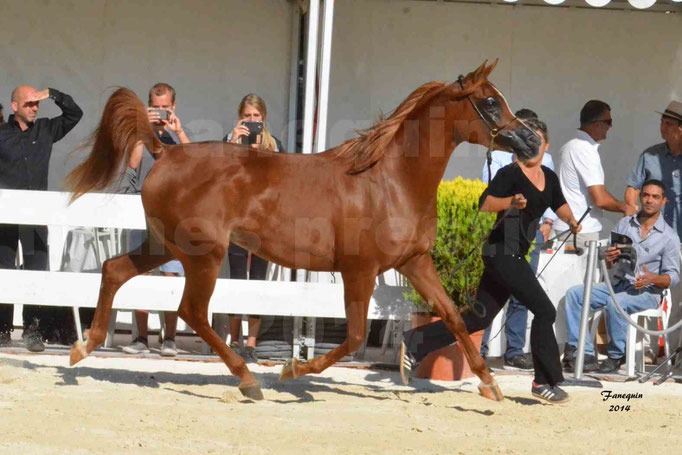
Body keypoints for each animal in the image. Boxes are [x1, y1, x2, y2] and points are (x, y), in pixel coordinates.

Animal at [66, 60, 540, 402]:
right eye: (490, 102)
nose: (532, 142)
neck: (389, 180)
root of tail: (165, 151)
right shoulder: (359, 271)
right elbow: (353, 336)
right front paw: (293, 370)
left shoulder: (414, 261)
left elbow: (454, 316)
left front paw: (490, 384)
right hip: (205, 253)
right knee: (192, 312)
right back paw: (247, 380)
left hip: (167, 245)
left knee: (115, 270)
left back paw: (83, 347)